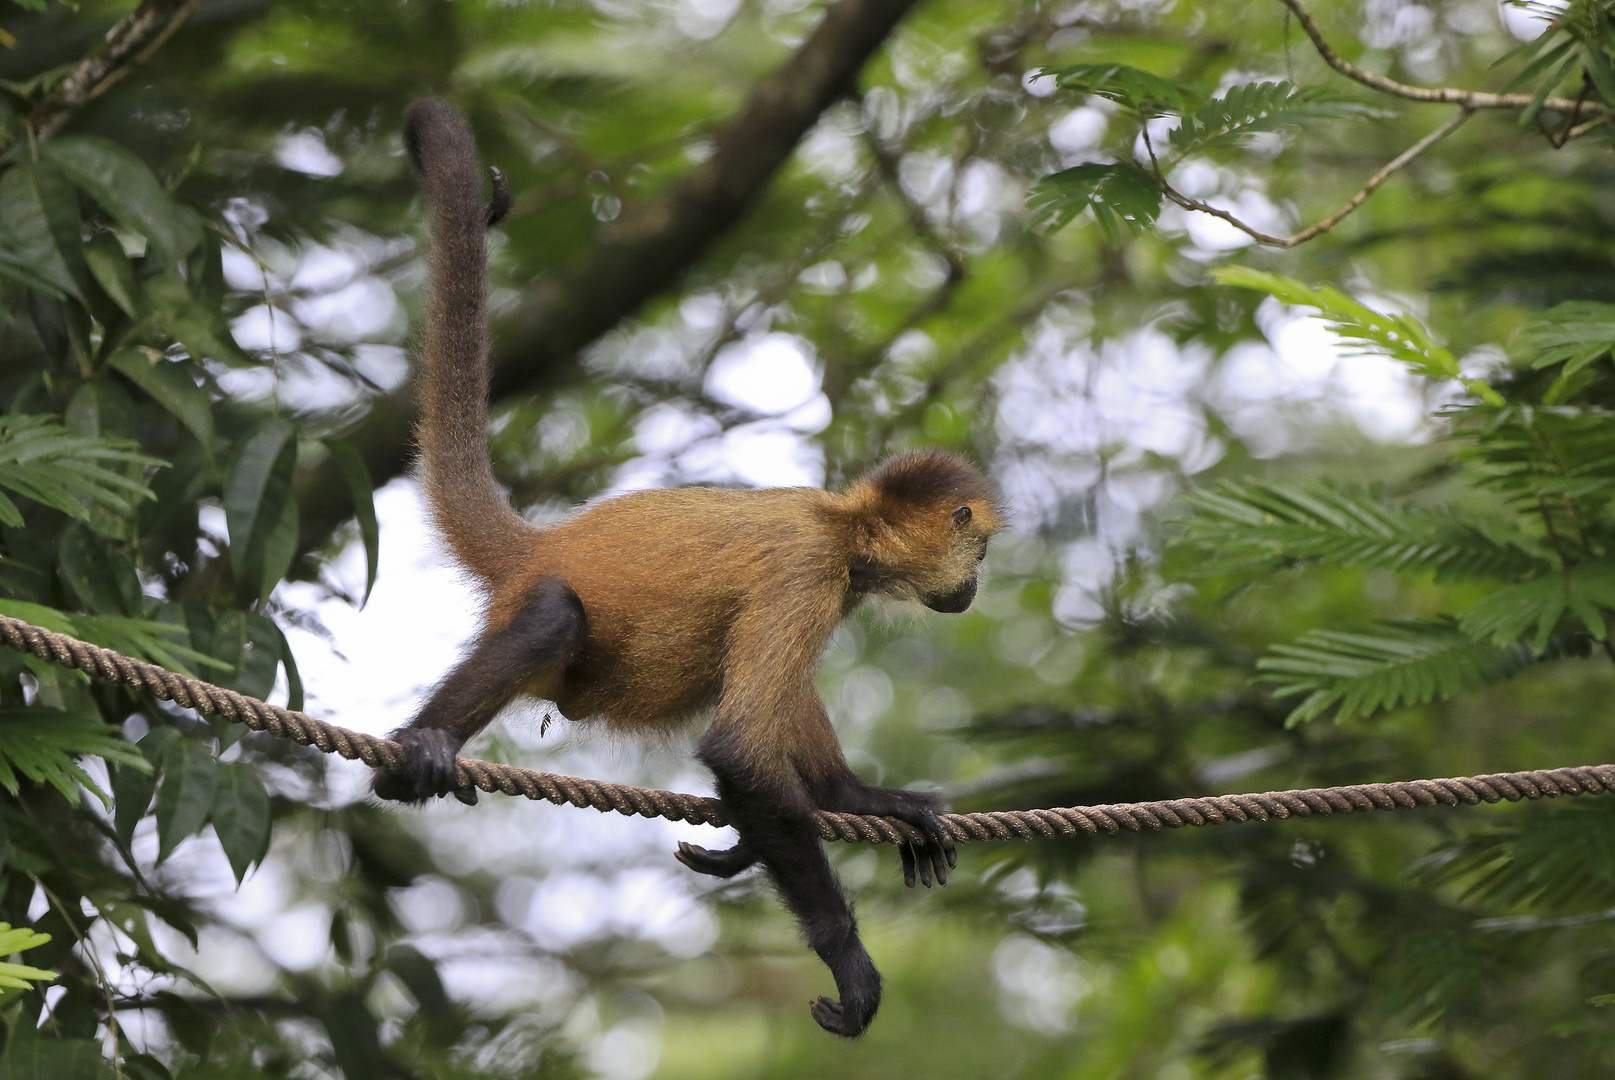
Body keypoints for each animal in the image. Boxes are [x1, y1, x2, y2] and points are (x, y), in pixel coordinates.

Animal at [377, 100, 1001, 1033]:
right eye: (981, 548)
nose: (973, 585)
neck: (844, 524)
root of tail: (539, 541)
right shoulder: (811, 567)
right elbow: (738, 746)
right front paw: (848, 961)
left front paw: (858, 798)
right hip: (559, 622)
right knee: (555, 616)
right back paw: (423, 745)